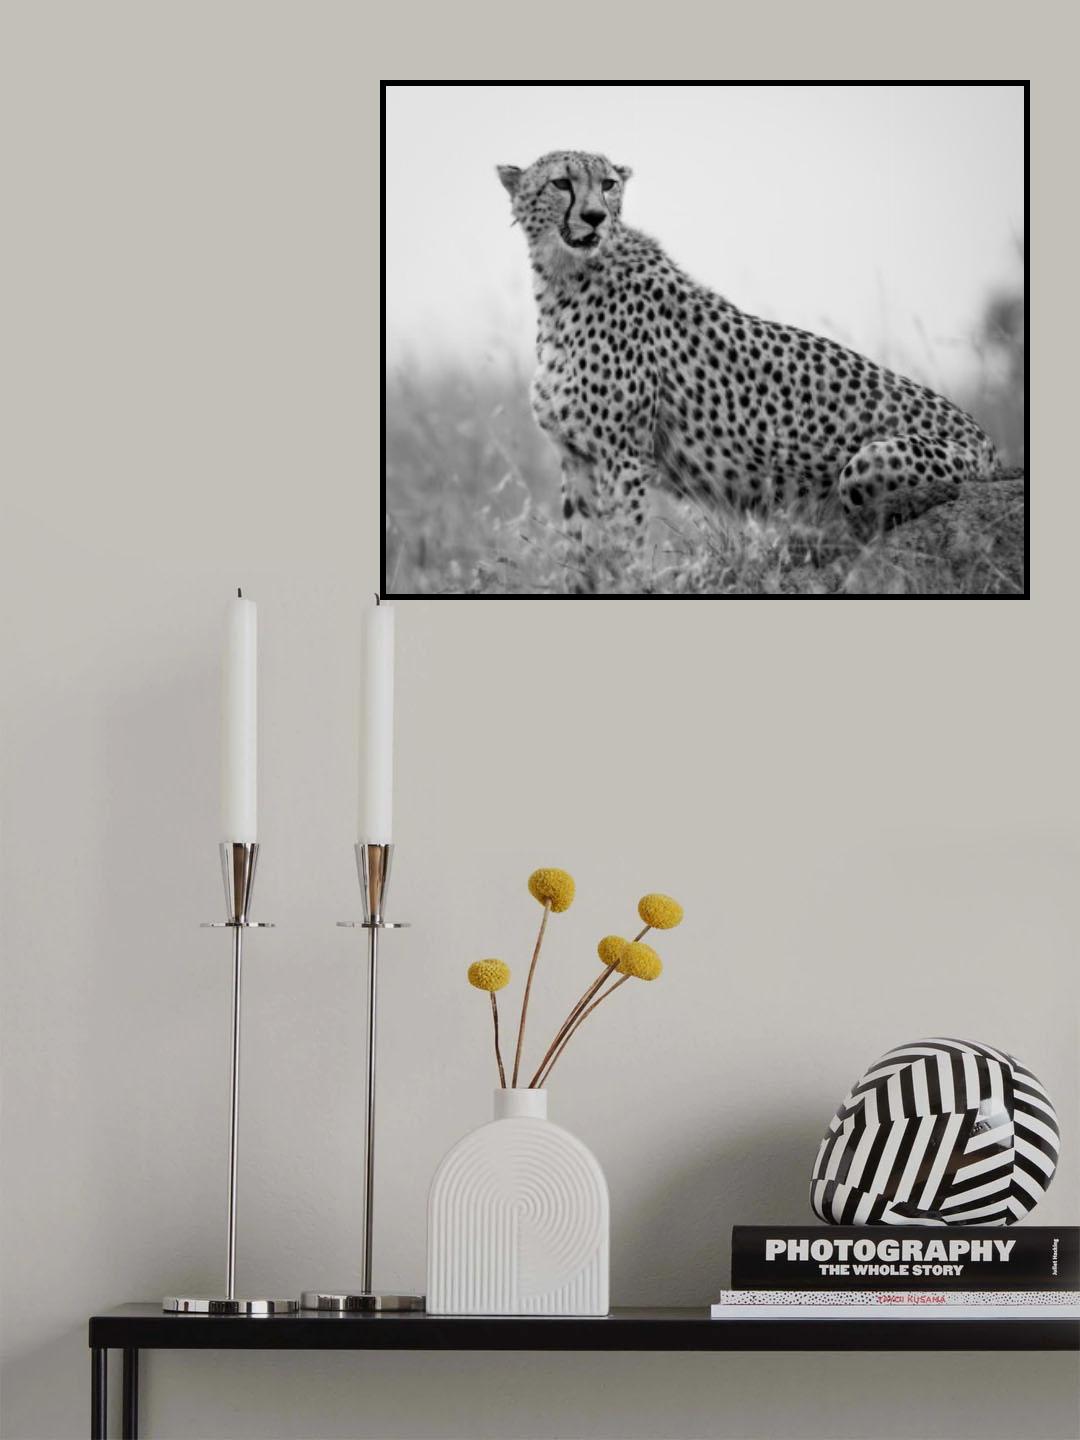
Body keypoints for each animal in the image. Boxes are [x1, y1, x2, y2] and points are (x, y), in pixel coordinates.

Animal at [497, 149, 1003, 544]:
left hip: (869, 461)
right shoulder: (576, 458)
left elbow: (624, 546)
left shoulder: (623, 456)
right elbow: (582, 551)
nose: (595, 217)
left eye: (608, 185)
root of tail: (991, 445)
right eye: (561, 183)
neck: (562, 280)